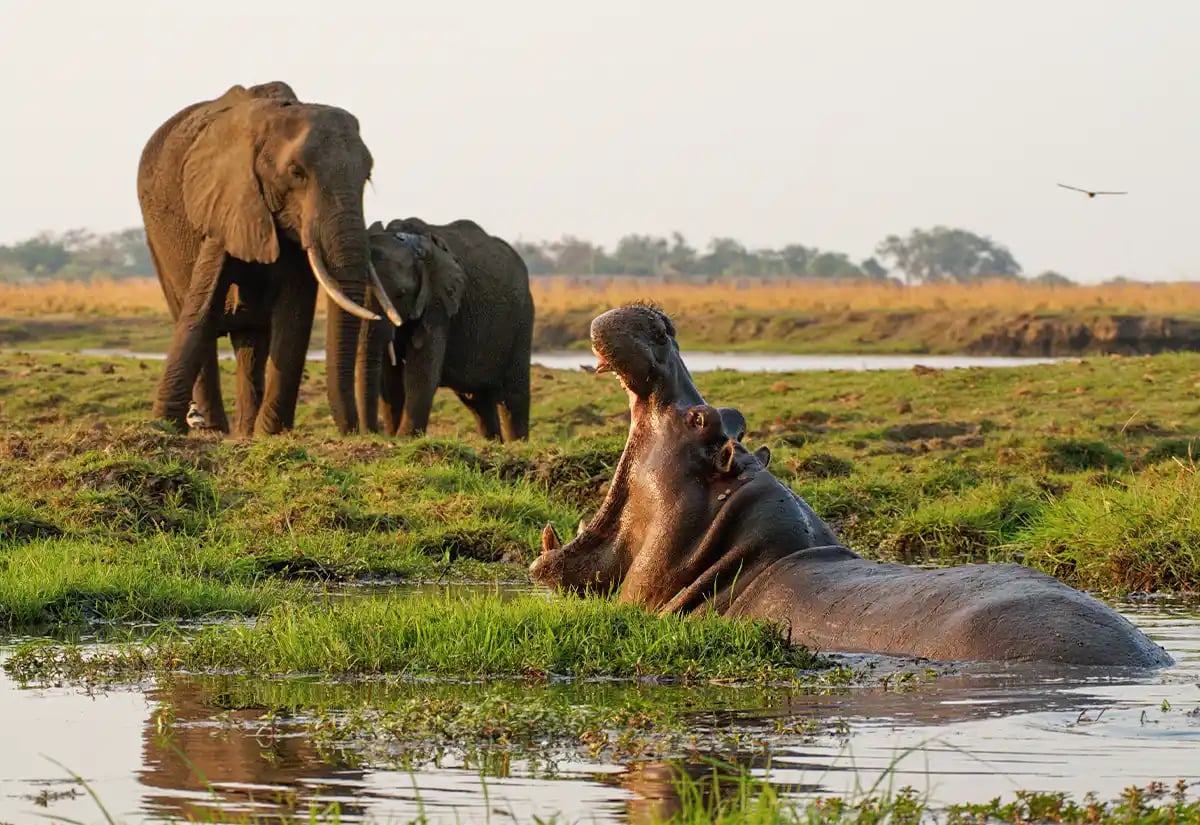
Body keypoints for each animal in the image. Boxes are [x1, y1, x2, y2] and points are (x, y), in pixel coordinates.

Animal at [136, 81, 403, 437]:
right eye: (296, 172)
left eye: (368, 176)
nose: (354, 431)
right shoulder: (227, 198)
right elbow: (200, 309)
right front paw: (162, 426)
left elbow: (295, 314)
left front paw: (270, 434)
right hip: (157, 244)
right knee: (194, 319)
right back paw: (214, 430)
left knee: (251, 344)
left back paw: (244, 432)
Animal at [353, 217, 534, 441]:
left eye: (400, 294)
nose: (370, 433)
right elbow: (390, 378)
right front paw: (395, 436)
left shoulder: (437, 304)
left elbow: (421, 371)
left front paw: (404, 438)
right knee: (477, 400)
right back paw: (492, 443)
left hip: (522, 317)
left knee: (512, 395)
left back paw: (518, 444)